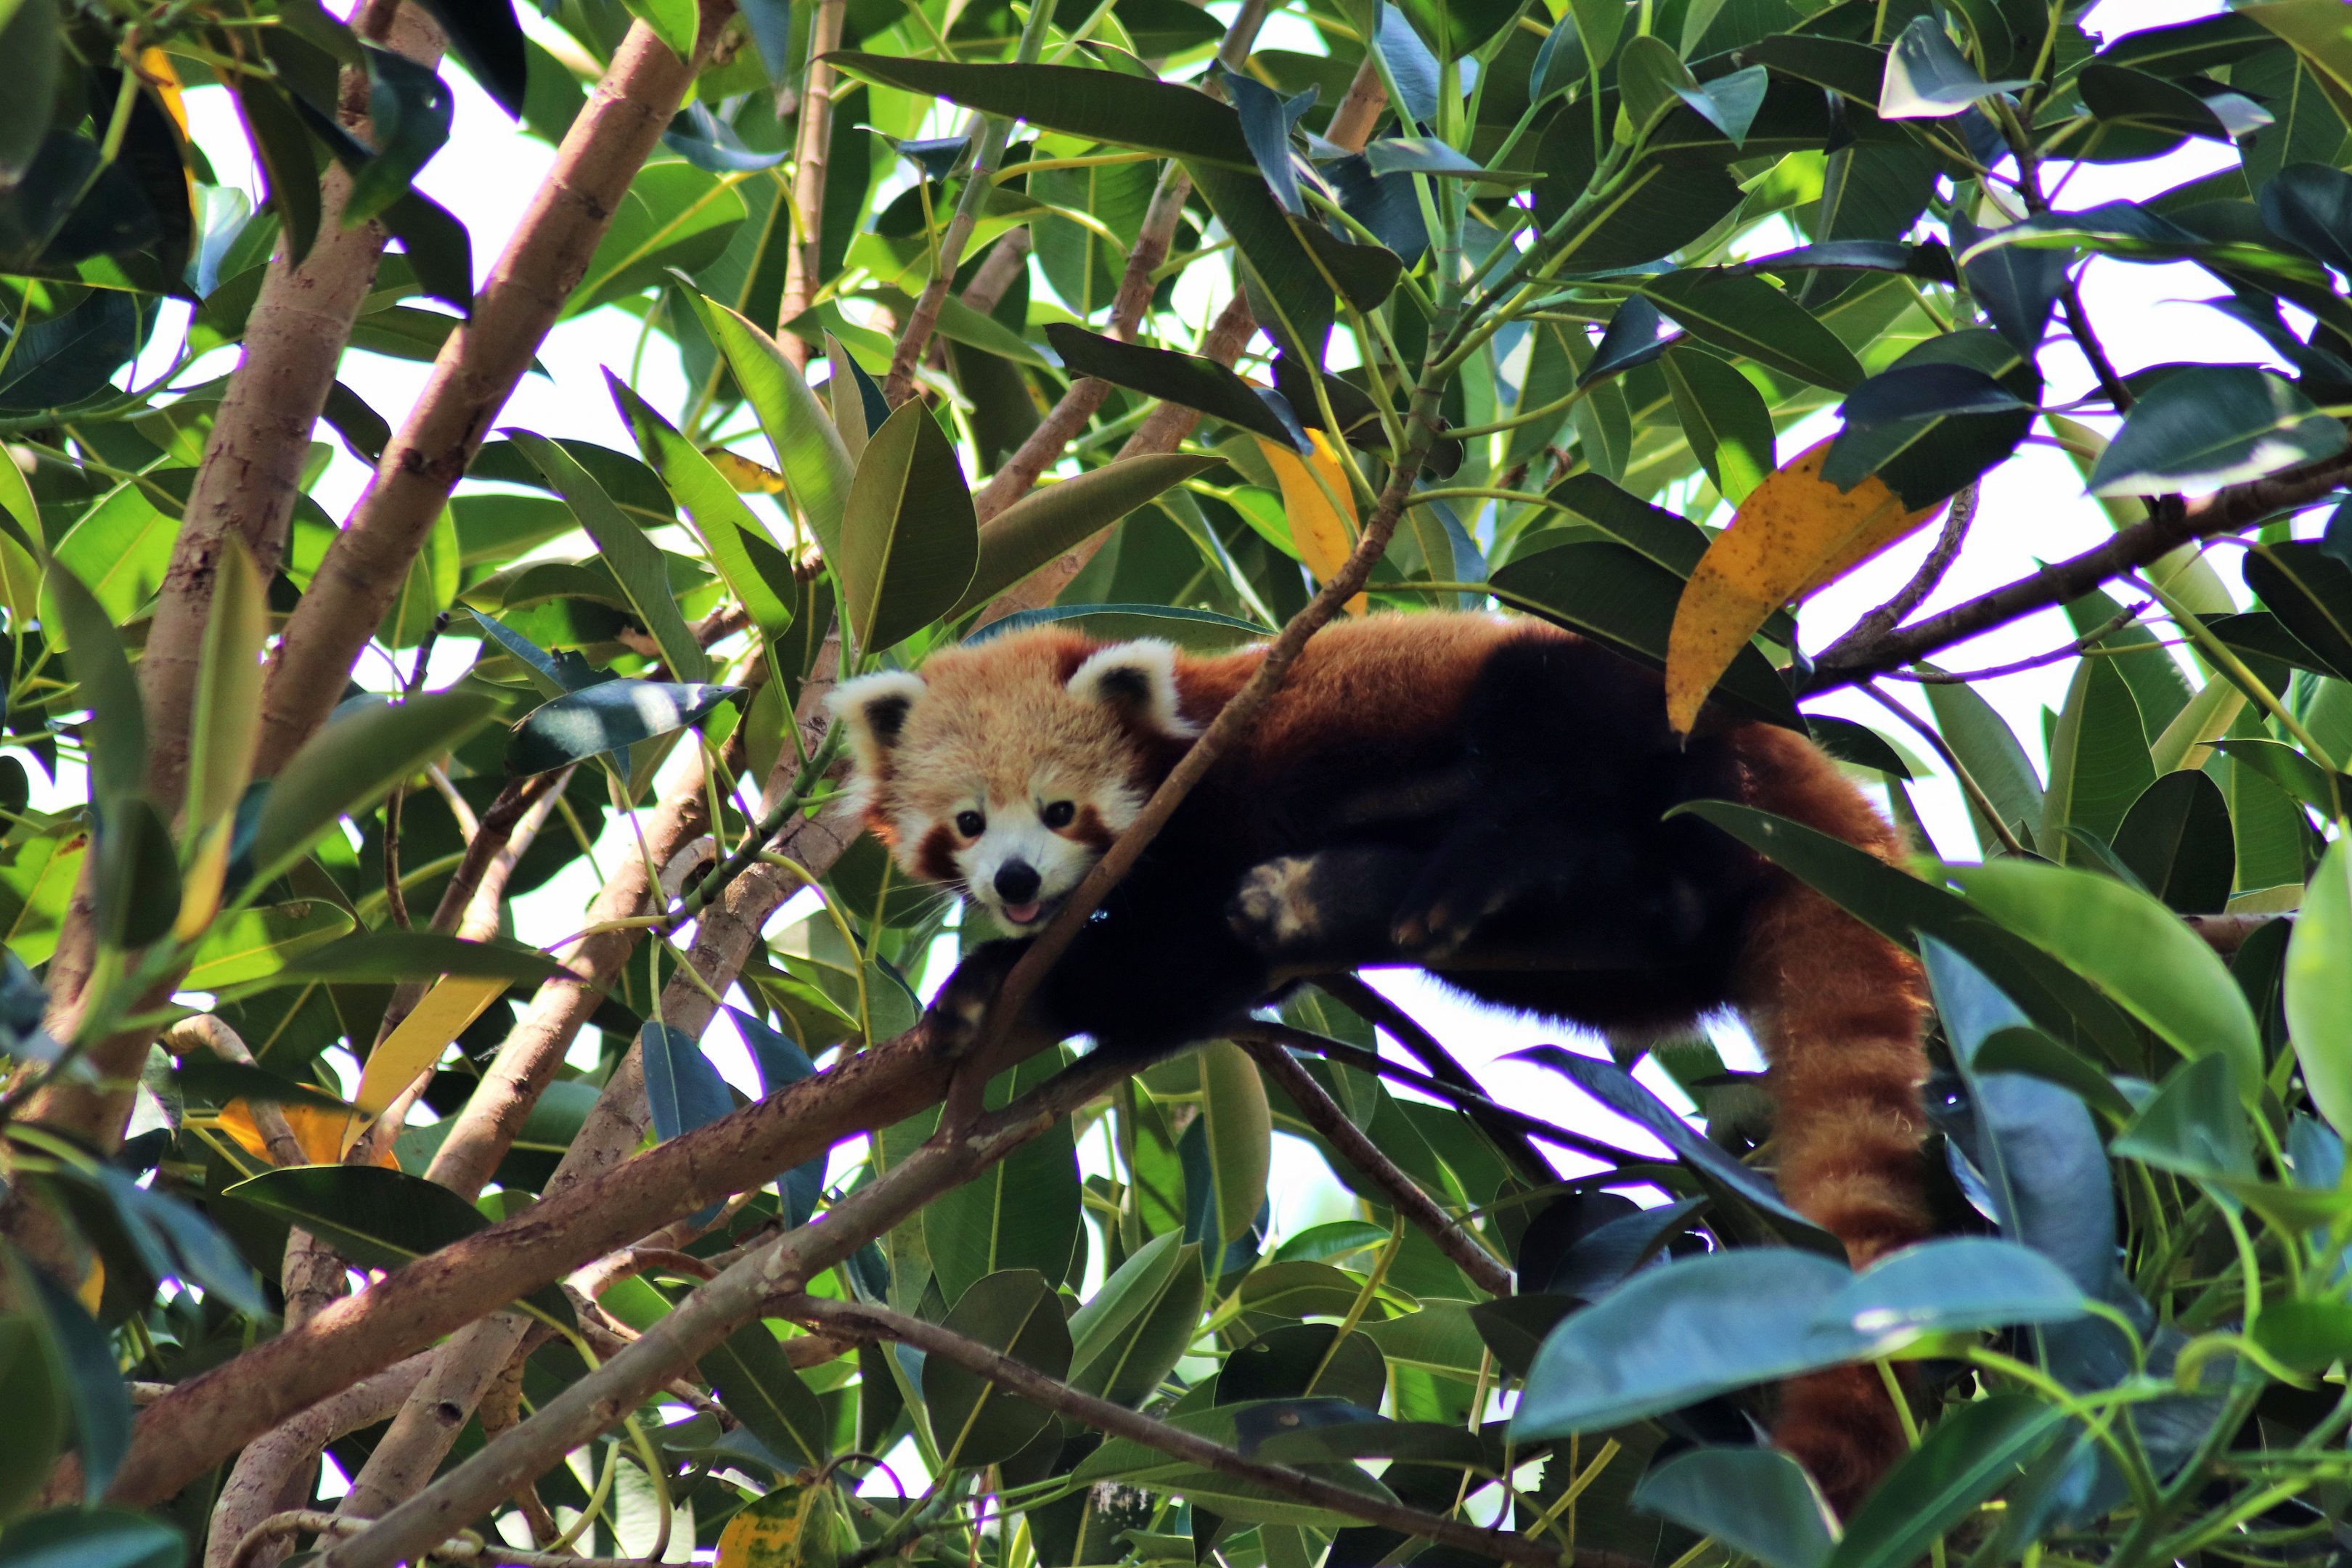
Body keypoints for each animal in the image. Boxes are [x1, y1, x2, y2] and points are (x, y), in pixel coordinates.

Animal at [830, 610, 1931, 1509]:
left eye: (1060, 810)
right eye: (969, 822)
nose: (1016, 881)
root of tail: (1790, 763)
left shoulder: (1216, 801)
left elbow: (1172, 964)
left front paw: (1001, 980)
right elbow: (1190, 977)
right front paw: (984, 986)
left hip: (1633, 699)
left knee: (1548, 730)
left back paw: (1479, 864)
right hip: (1608, 947)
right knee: (1651, 926)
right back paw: (1340, 900)